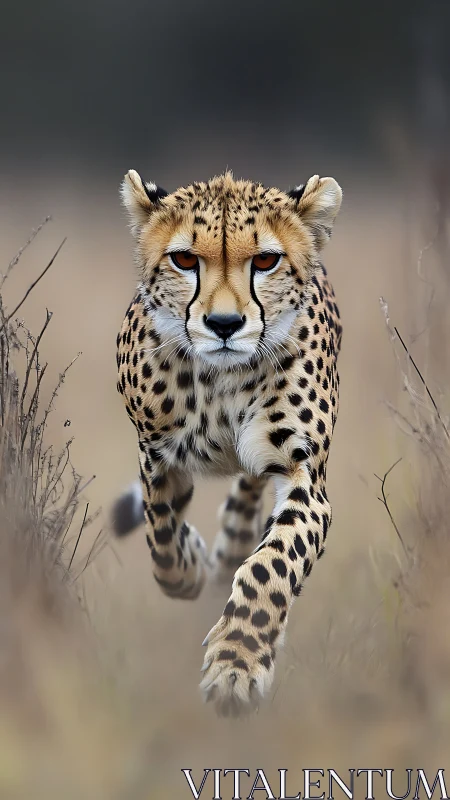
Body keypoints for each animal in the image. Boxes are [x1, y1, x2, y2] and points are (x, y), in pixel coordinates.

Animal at [112, 168, 343, 716]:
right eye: (184, 260)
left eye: (264, 260)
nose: (223, 325)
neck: (222, 380)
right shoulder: (155, 454)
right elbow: (162, 541)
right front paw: (192, 566)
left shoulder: (304, 476)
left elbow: (271, 565)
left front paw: (236, 663)